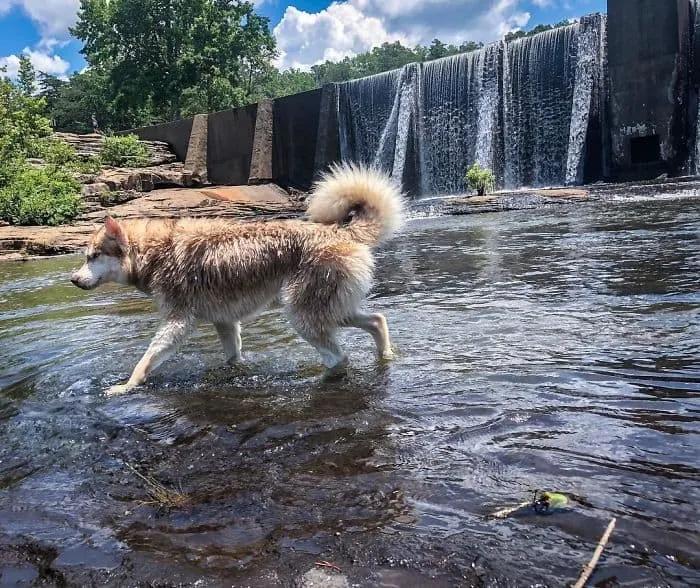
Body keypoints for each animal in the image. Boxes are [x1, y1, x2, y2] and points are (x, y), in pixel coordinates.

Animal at [69, 163, 404, 398]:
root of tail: (339, 231)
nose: (73, 279)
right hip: (330, 310)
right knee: (377, 320)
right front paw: (233, 372)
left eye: (93, 256)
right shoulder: (225, 322)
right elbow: (232, 356)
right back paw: (386, 354)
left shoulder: (178, 322)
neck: (153, 253)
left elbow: (146, 360)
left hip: (303, 316)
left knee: (339, 357)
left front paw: (126, 386)